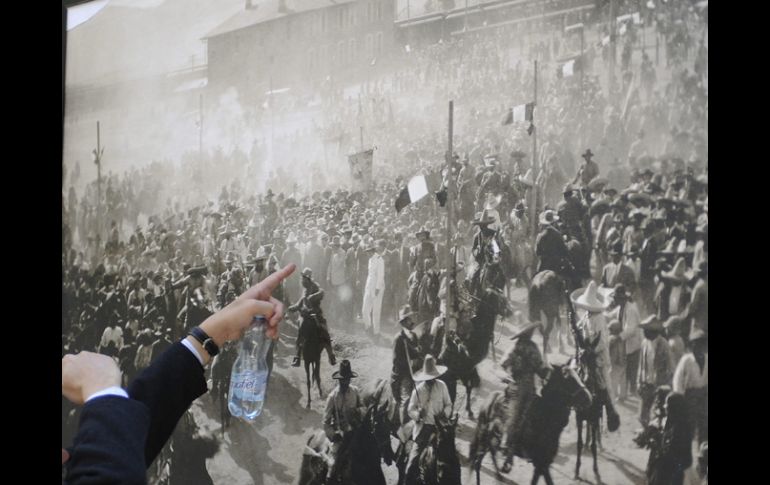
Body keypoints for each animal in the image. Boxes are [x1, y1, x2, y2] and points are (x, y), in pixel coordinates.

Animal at [464, 362, 592, 484]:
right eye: (567, 378)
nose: (588, 398)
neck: (544, 421)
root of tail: (489, 399)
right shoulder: (540, 464)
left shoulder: (542, 465)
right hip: (484, 439)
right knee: (478, 460)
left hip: (490, 440)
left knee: (484, 458)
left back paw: (499, 475)